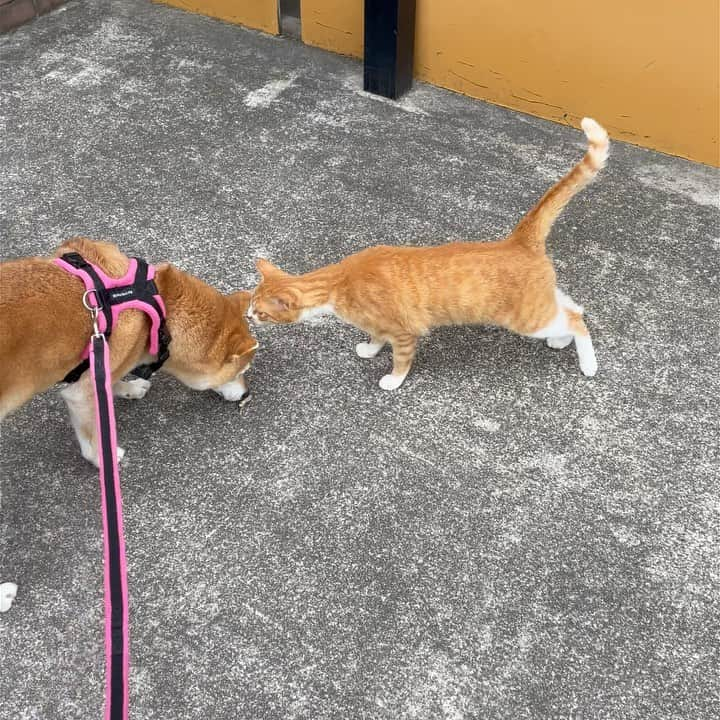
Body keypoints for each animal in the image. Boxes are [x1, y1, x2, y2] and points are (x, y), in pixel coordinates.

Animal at [249, 119, 608, 388]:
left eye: (262, 313)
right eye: (251, 305)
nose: (249, 317)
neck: (337, 283)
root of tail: (516, 241)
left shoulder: (403, 332)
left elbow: (400, 359)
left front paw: (392, 380)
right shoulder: (379, 324)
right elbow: (375, 338)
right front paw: (370, 348)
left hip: (526, 318)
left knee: (576, 321)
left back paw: (588, 363)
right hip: (540, 304)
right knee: (573, 307)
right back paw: (561, 341)